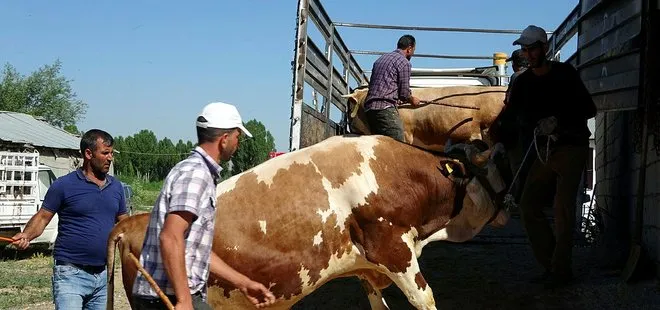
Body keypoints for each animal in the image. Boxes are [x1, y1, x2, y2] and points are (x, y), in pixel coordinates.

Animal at [105, 134, 508, 308]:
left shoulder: (367, 270)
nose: (508, 204)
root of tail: (134, 222)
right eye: (491, 169)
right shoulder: (395, 253)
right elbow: (426, 299)